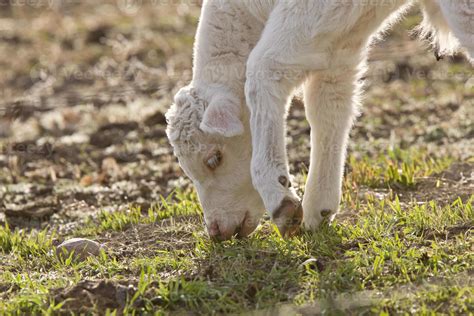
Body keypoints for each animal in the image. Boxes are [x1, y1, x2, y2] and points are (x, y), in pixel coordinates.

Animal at [166, 0, 470, 241]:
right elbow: (330, 105)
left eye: (214, 158)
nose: (216, 231)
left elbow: (263, 66)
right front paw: (319, 208)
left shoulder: (310, 8)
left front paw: (282, 200)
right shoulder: (341, 38)